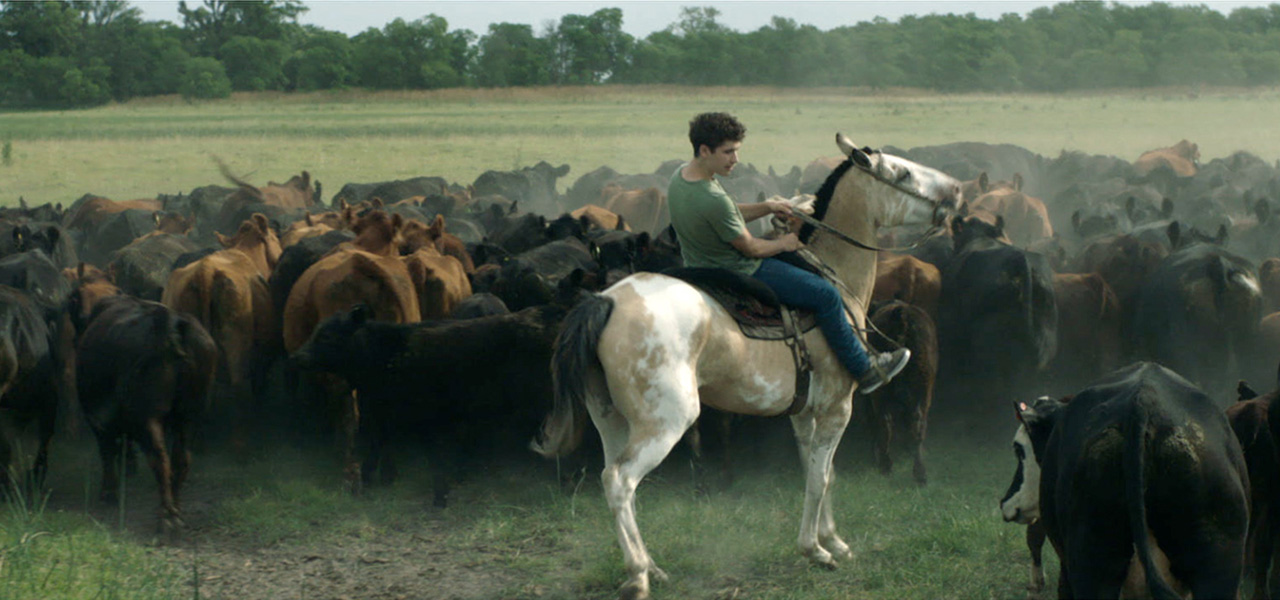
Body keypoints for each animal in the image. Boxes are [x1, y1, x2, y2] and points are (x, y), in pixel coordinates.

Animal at [75, 292, 216, 529]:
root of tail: (171, 322)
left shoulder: (97, 419)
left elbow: (107, 452)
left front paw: (108, 493)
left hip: (148, 417)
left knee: (159, 458)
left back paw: (166, 516)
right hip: (189, 416)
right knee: (181, 459)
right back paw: (176, 509)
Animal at [294, 304, 570, 504]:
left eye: (327, 336)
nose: (297, 357)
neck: (385, 357)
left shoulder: (422, 416)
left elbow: (432, 453)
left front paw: (440, 495)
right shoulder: (387, 413)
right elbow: (378, 445)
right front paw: (370, 480)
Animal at [529, 135, 962, 598]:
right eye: (903, 173)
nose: (956, 191)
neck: (835, 277)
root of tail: (605, 302)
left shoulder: (804, 414)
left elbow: (820, 473)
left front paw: (833, 541)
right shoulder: (837, 408)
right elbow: (820, 478)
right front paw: (816, 550)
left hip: (611, 419)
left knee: (616, 482)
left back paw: (651, 567)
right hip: (666, 422)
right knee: (620, 481)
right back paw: (640, 575)